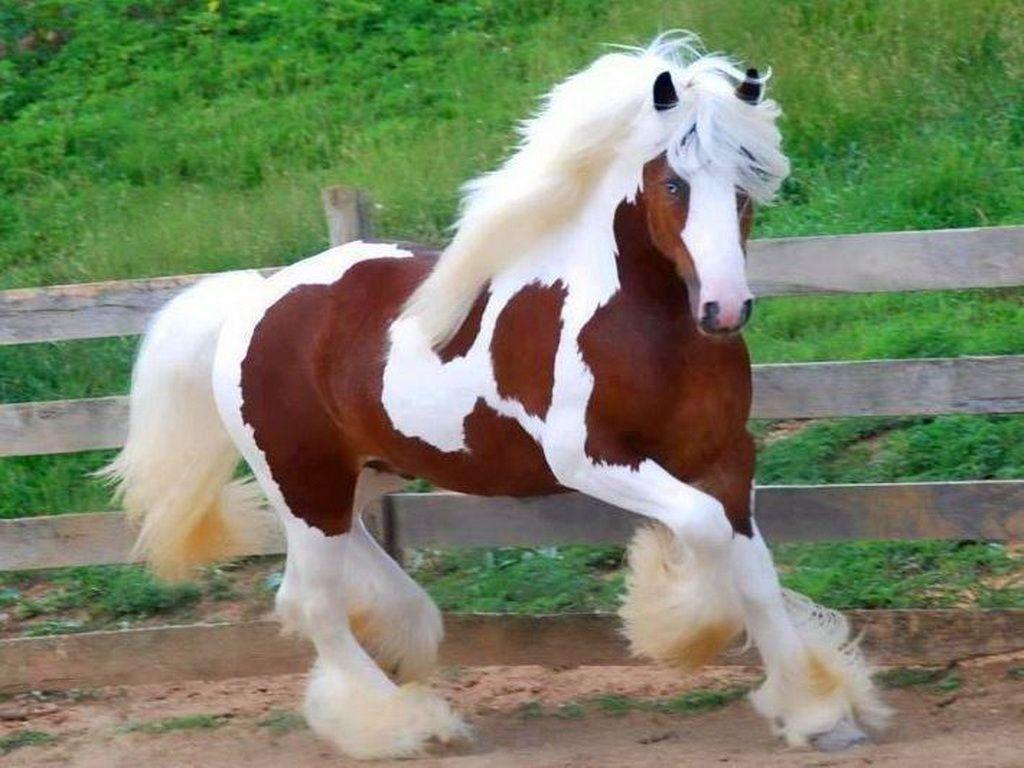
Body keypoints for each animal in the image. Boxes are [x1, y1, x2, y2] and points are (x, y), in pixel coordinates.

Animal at [104, 35, 889, 759]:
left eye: (747, 180)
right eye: (674, 184)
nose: (725, 309)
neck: (640, 327)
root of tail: (253, 300)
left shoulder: (725, 456)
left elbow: (754, 572)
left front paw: (819, 714)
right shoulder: (591, 460)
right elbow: (702, 532)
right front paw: (682, 622)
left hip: (356, 479)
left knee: (314, 585)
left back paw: (402, 652)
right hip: (304, 482)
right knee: (315, 603)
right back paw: (405, 724)